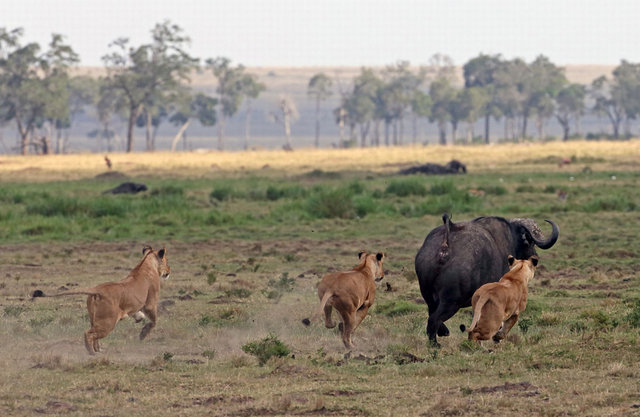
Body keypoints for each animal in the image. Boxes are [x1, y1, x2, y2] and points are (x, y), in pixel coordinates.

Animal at [416, 214, 560, 344]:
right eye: (530, 241)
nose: (535, 257)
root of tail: (444, 248)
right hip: (451, 302)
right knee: (434, 319)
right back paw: (435, 345)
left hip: (428, 296)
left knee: (432, 313)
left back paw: (443, 333)